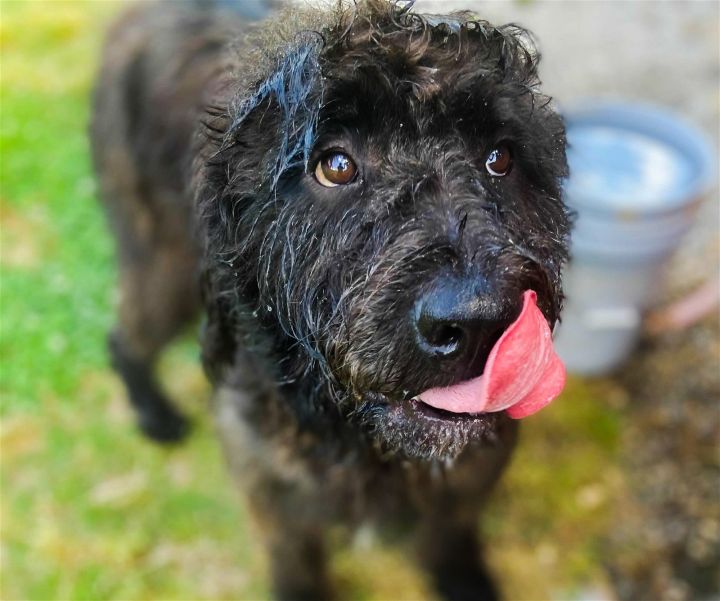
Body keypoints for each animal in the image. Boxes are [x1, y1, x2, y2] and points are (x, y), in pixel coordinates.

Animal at [93, 2, 572, 596]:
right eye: (336, 165)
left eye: (500, 159)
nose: (480, 322)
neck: (363, 439)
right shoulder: (266, 472)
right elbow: (294, 554)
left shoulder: (474, 463)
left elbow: (450, 529)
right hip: (164, 261)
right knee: (124, 336)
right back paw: (154, 415)